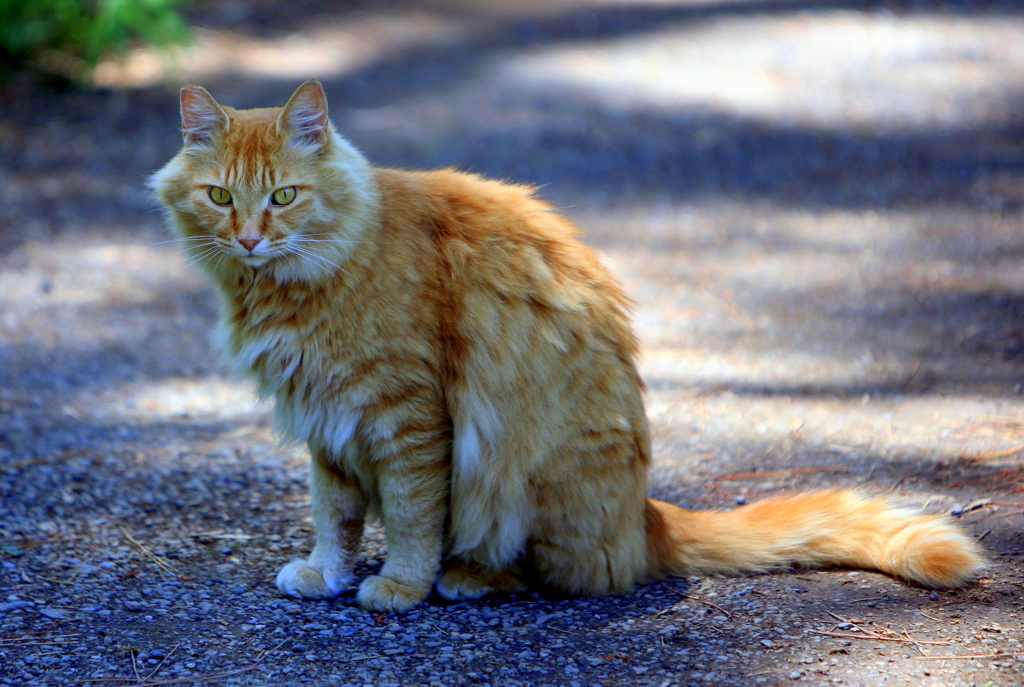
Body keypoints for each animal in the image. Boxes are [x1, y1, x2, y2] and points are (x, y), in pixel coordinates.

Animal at [149, 79, 983, 614]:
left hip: (520, 468)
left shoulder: (405, 414)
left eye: (284, 196)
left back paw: (464, 578)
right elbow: (335, 516)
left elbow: (414, 516)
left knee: (559, 571)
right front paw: (327, 573)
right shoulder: (329, 426)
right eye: (220, 197)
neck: (293, 285)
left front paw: (399, 586)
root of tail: (644, 512)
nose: (249, 238)